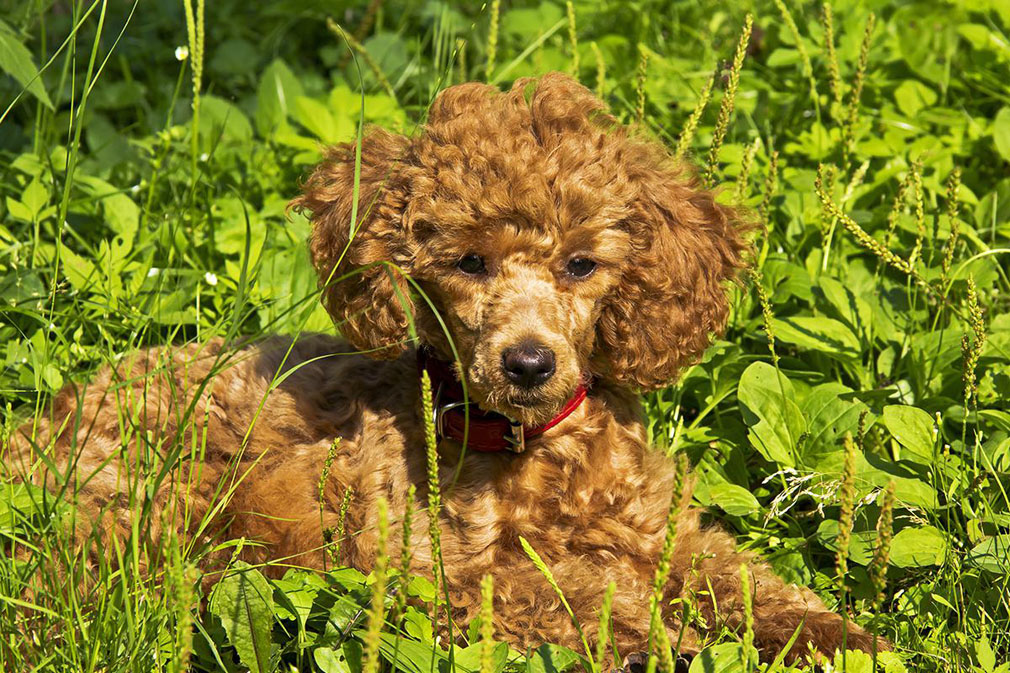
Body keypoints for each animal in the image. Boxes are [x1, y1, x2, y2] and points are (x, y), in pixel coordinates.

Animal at [7, 72, 880, 658]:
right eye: (468, 262)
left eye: (581, 265)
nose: (528, 363)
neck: (530, 449)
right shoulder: (416, 567)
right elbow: (551, 589)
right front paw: (647, 632)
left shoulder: (663, 530)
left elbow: (749, 582)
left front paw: (844, 638)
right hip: (145, 505)